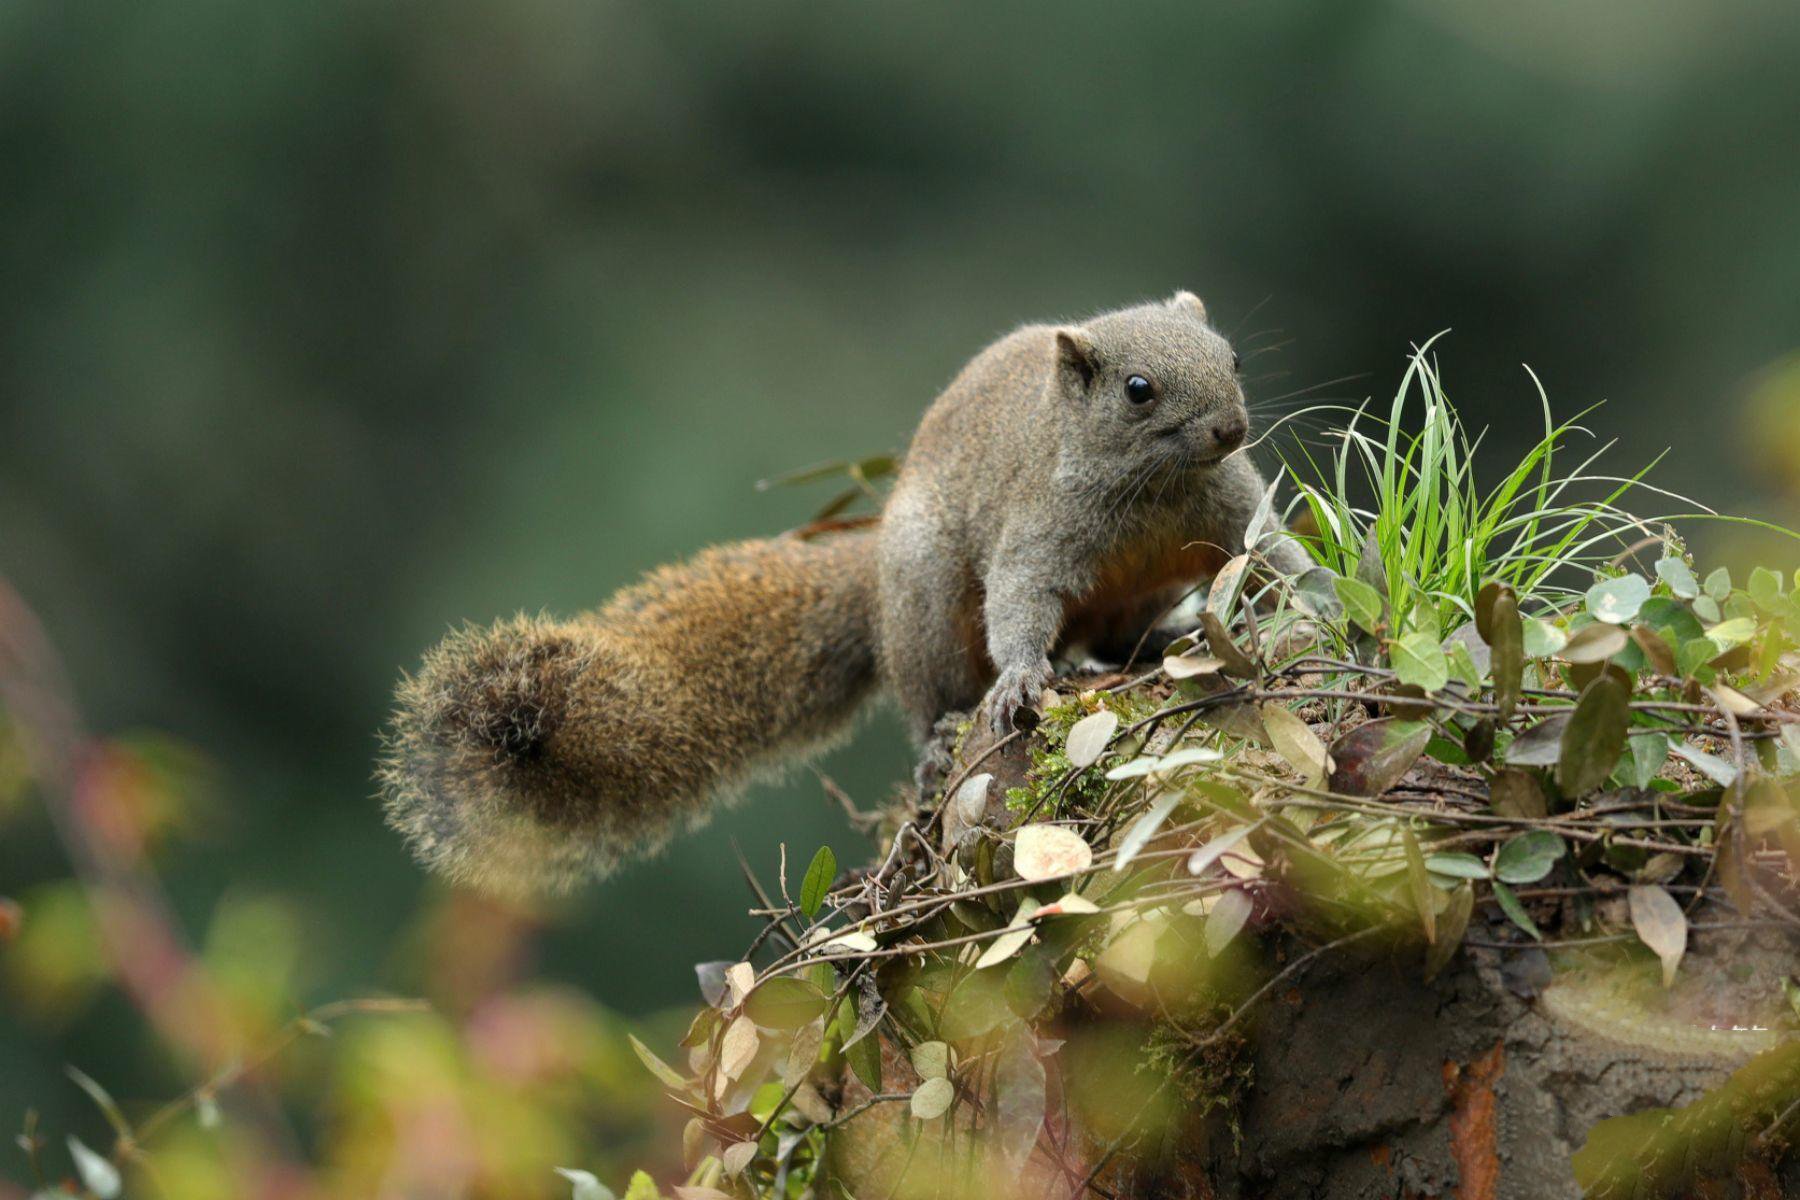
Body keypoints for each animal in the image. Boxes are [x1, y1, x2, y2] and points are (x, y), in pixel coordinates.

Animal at [379, 287, 1310, 892]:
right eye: (1138, 390)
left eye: (1231, 357)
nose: (1231, 427)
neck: (1154, 490)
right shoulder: (1040, 530)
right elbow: (1019, 607)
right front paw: (1020, 679)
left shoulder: (1230, 509)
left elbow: (1273, 550)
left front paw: (1320, 593)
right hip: (926, 600)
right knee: (935, 694)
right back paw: (948, 732)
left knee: (1114, 640)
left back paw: (1157, 641)